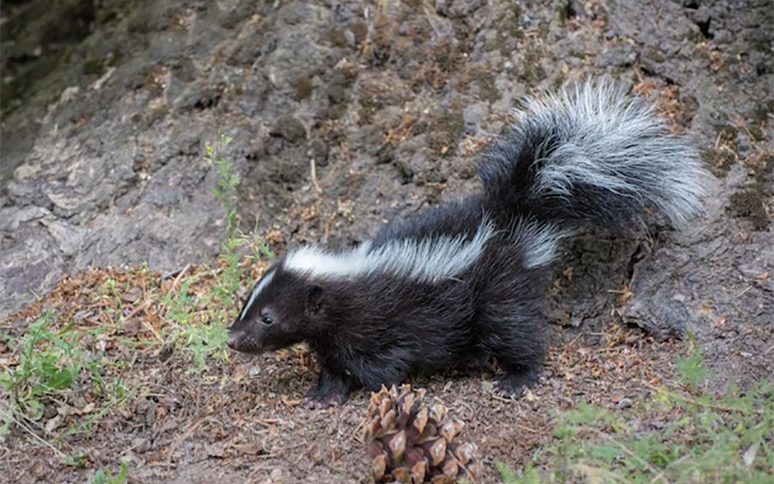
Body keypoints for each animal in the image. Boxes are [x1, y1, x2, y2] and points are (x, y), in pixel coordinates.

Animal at [227, 80, 712, 408]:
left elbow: (384, 363)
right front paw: (323, 395)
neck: (348, 280)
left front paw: (378, 386)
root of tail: (512, 216)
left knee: (516, 333)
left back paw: (516, 379)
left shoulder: (382, 324)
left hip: (498, 293)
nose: (232, 339)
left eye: (268, 318)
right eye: (247, 305)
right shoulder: (335, 336)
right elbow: (334, 364)